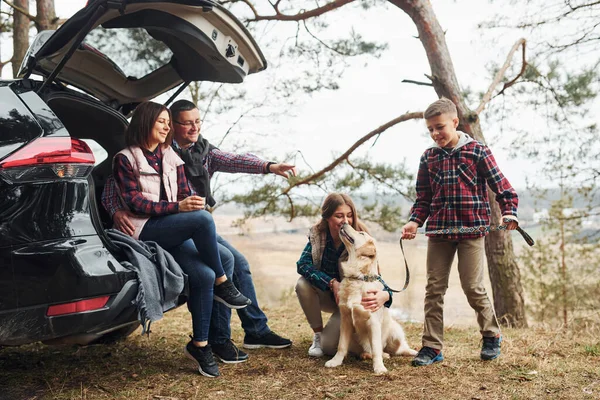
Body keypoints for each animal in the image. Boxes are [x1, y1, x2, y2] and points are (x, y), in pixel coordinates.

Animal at [324, 223, 418, 374]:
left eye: (361, 233)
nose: (344, 223)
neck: (358, 277)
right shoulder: (345, 320)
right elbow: (341, 345)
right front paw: (335, 361)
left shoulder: (373, 322)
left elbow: (376, 349)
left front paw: (379, 368)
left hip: (395, 330)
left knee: (397, 349)